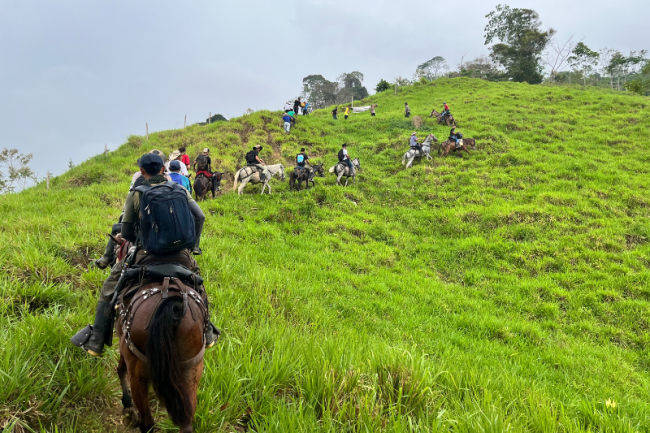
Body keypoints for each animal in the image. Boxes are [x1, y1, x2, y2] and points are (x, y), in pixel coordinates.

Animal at [115, 274, 206, 432]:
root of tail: (176, 306)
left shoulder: (124, 342)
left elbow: (121, 368)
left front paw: (127, 405)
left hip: (138, 376)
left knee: (147, 423)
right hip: (191, 372)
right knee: (186, 423)